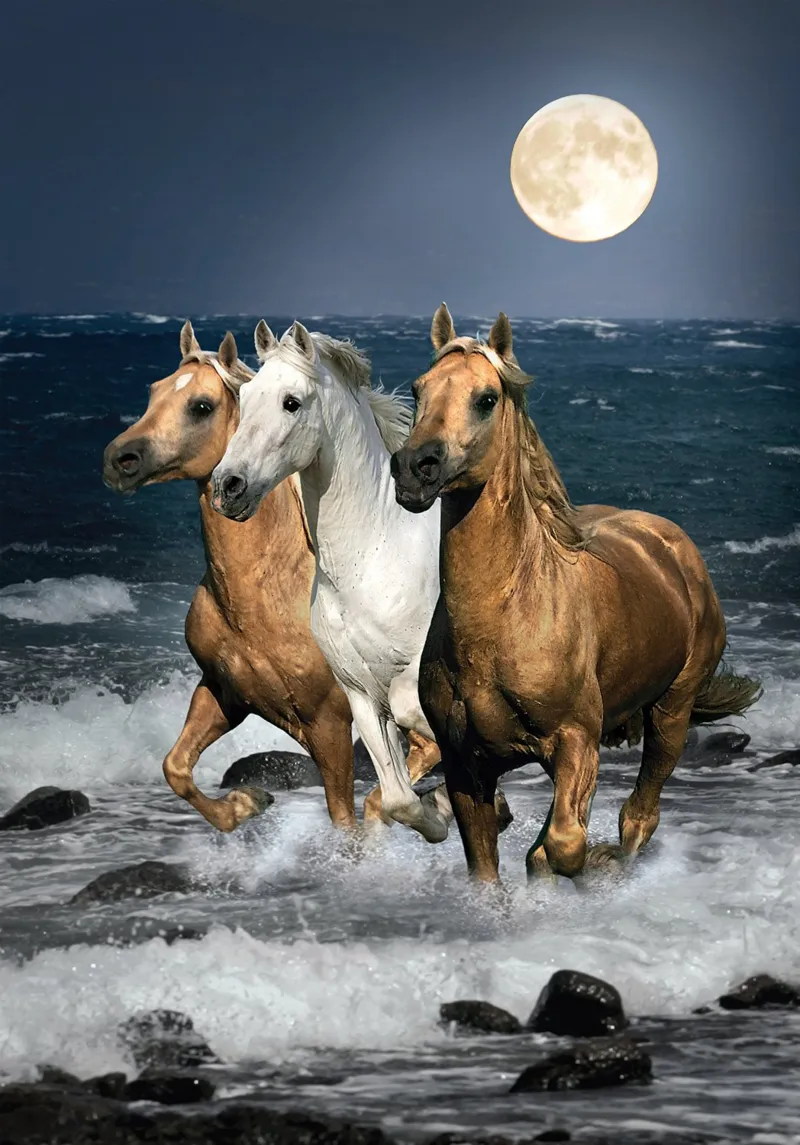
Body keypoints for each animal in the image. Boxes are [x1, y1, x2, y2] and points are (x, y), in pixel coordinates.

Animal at [102, 322, 436, 833]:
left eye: (202, 406)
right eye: (155, 391)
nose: (119, 459)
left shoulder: (329, 725)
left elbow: (348, 820)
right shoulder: (223, 693)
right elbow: (174, 767)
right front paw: (245, 804)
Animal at [211, 320, 512, 845]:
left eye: (292, 402)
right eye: (244, 398)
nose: (228, 486)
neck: (371, 562)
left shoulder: (416, 679)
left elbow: (417, 717)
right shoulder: (359, 693)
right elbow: (396, 797)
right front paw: (440, 814)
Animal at [389, 304, 761, 882]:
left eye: (486, 398)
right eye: (418, 388)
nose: (414, 468)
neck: (504, 620)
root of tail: (676, 548)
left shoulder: (575, 740)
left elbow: (565, 846)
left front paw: (566, 864)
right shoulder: (465, 766)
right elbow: (490, 867)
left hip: (671, 712)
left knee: (639, 814)